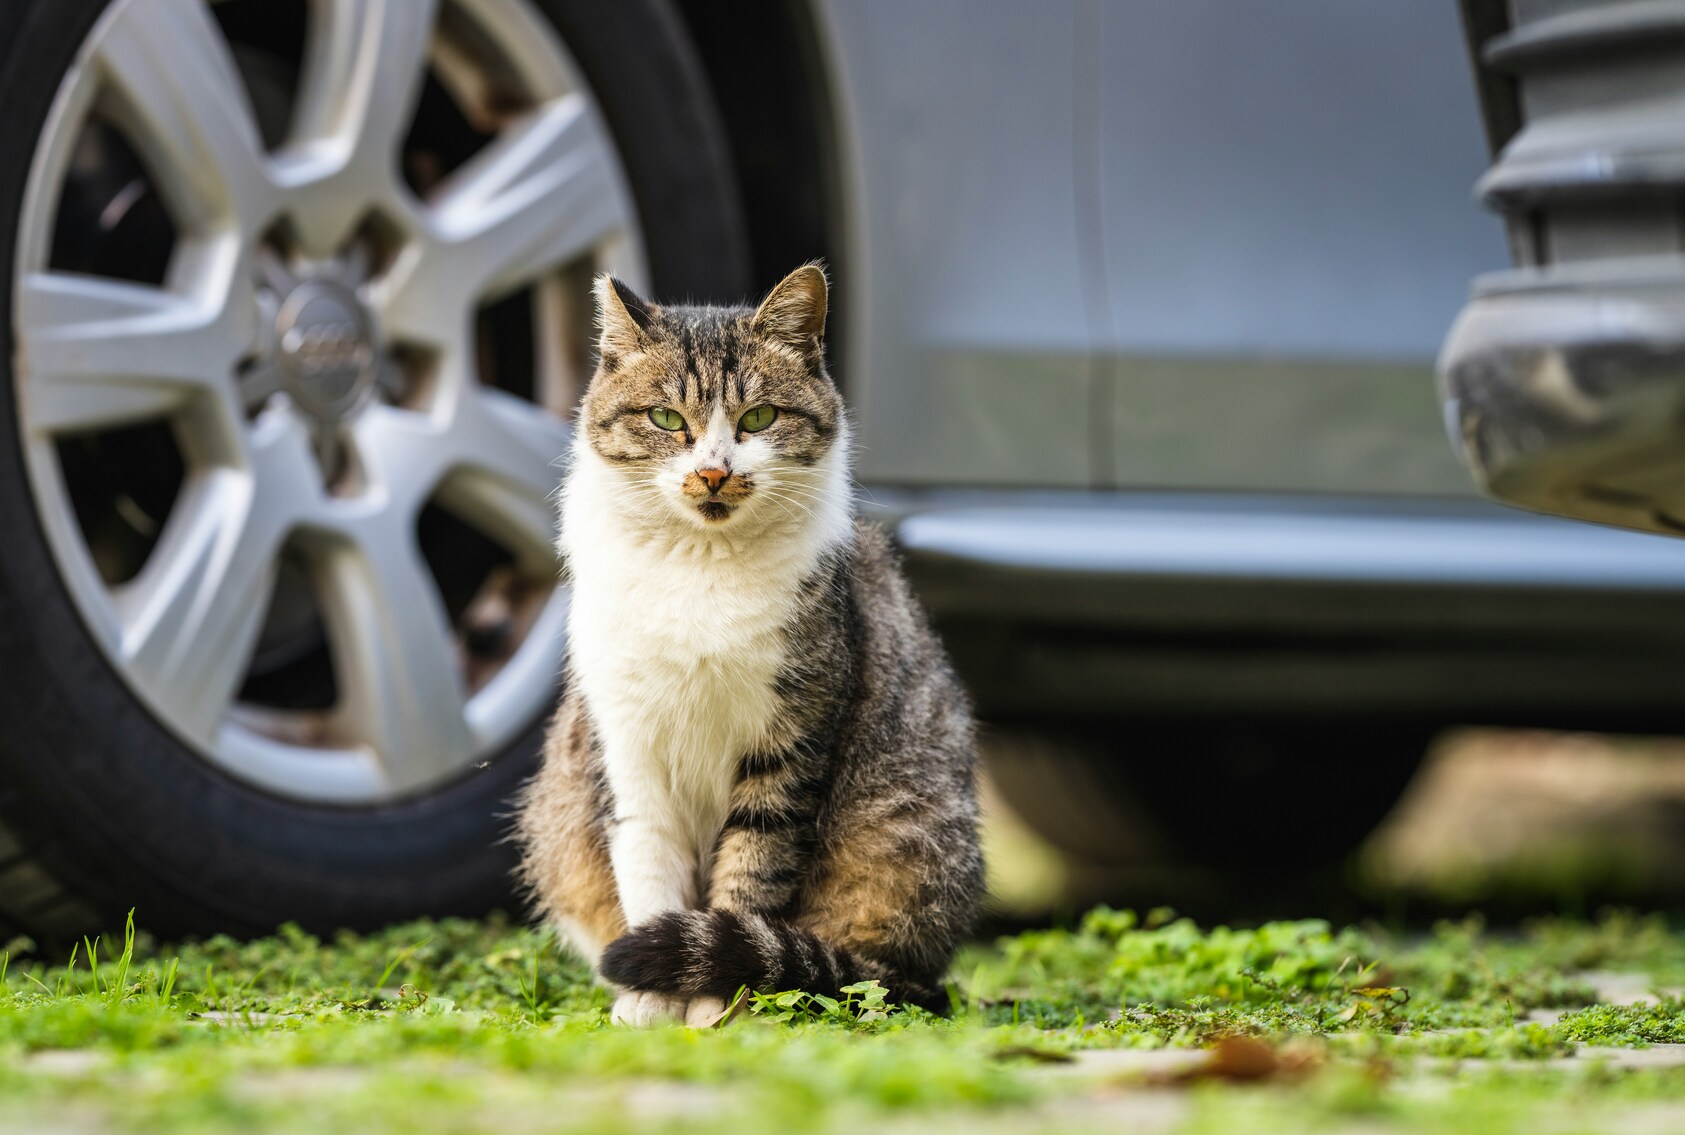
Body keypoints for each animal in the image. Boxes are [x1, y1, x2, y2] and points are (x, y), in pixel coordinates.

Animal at [518, 267, 984, 1023]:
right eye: (666, 419)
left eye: (759, 419)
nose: (713, 471)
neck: (698, 565)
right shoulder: (627, 747)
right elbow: (648, 872)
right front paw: (651, 1001)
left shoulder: (790, 741)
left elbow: (749, 875)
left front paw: (717, 1004)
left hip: (906, 851)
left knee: (875, 976)